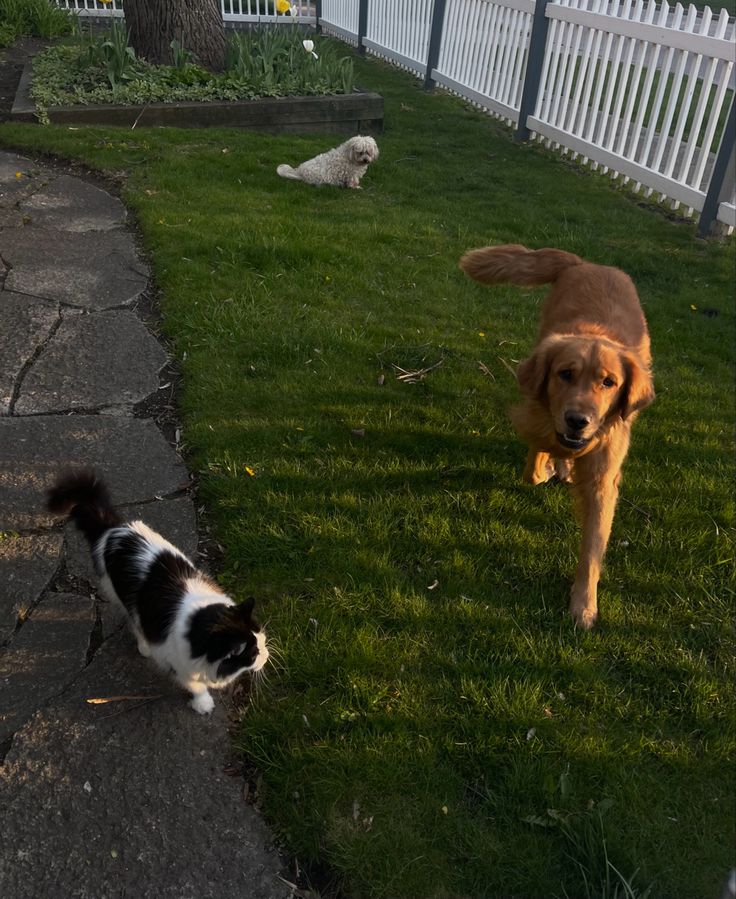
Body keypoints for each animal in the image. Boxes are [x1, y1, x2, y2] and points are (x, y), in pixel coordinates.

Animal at [47, 472, 268, 716]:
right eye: (254, 654)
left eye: (263, 640)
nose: (267, 655)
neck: (197, 626)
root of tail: (113, 530)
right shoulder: (179, 662)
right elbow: (196, 686)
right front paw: (203, 705)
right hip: (123, 598)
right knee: (135, 623)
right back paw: (144, 647)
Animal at [460, 243, 656, 628]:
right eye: (565, 374)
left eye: (609, 382)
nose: (577, 420)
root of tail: (586, 263)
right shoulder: (539, 419)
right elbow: (537, 457)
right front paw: (547, 467)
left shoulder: (602, 480)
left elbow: (592, 548)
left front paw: (584, 604)